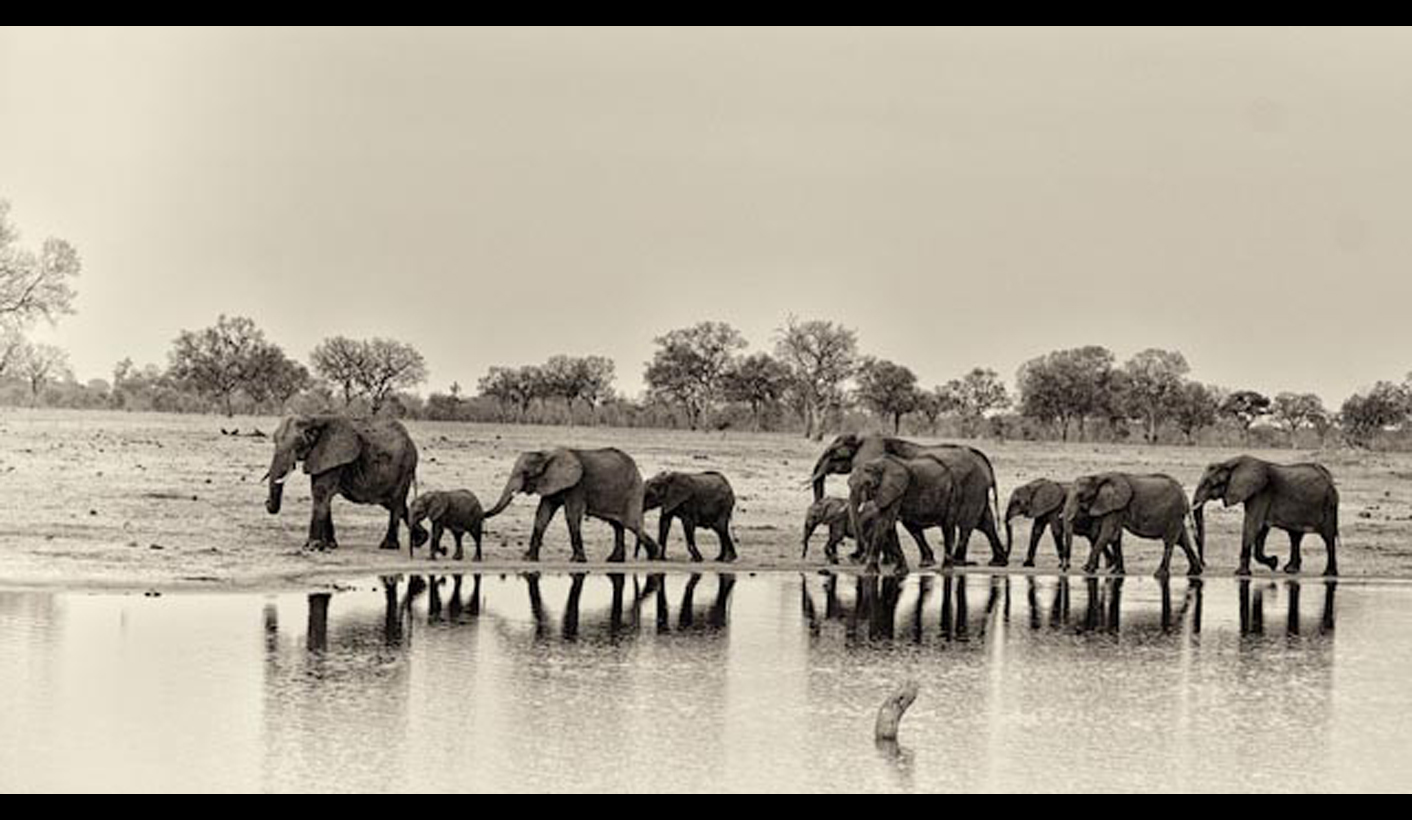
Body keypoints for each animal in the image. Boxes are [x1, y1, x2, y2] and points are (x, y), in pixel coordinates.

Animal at [264, 415, 418, 552]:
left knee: (396, 503)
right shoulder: (320, 458)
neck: (314, 419)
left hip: (405, 468)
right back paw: (420, 541)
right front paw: (329, 545)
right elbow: (322, 495)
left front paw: (311, 547)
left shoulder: (332, 456)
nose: (266, 502)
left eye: (297, 444)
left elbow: (320, 492)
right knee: (395, 504)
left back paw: (389, 546)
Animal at [483, 447, 660, 563]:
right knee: (617, 526)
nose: (483, 513)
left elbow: (572, 516)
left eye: (526, 473)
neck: (548, 455)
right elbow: (542, 515)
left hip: (633, 492)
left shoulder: (577, 486)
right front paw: (529, 558)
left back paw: (655, 556)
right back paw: (614, 560)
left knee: (633, 525)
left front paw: (576, 560)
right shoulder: (551, 483)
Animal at [810, 433, 1006, 566]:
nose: (839, 555)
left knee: (967, 524)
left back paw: (958, 562)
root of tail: (985, 462)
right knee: (985, 523)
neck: (862, 437)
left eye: (832, 453)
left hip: (972, 488)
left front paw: (868, 560)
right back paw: (996, 561)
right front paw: (886, 562)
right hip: (977, 491)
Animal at [1062, 472, 1203, 578]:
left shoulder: (1116, 505)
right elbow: (1115, 536)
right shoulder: (1113, 506)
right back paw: (1194, 572)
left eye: (1080, 495)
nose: (1065, 568)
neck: (1098, 477)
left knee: (1170, 542)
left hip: (1174, 514)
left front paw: (1086, 569)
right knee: (1183, 541)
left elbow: (1108, 534)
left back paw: (1159, 574)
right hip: (1177, 517)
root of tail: (1185, 496)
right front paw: (1117, 573)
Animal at [1191, 455, 1339, 577]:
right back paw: (1291, 570)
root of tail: (1329, 477)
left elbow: (1253, 525)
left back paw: (1328, 574)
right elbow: (1262, 528)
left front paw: (1240, 573)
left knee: (1328, 537)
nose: (1204, 563)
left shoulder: (1261, 493)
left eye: (1212, 484)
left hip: (1328, 505)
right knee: (1295, 536)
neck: (1230, 463)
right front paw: (1273, 562)